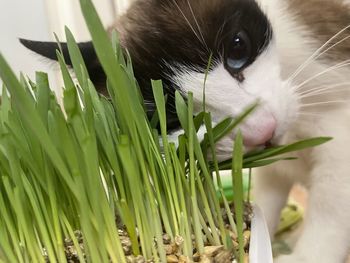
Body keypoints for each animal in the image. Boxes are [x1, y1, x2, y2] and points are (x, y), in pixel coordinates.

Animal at [19, 0, 350, 263]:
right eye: (172, 118)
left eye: (238, 48)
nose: (263, 129)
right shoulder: (275, 166)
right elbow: (266, 197)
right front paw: (258, 231)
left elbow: (331, 207)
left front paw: (306, 257)